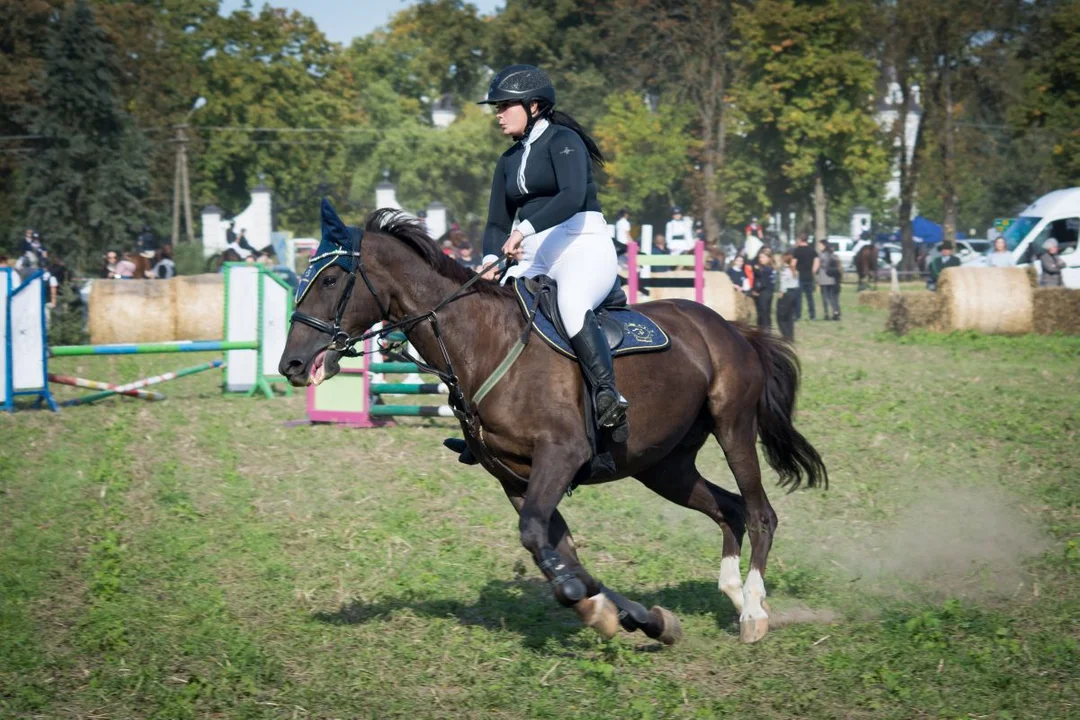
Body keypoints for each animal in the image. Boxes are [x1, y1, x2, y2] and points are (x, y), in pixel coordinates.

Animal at [280, 204, 825, 647]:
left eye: (330, 280)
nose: (291, 364)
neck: (482, 343)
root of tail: (732, 327)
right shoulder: (516, 479)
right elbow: (558, 551)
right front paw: (631, 617)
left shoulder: (560, 457)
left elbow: (541, 543)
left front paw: (594, 604)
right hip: (663, 466)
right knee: (728, 509)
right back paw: (736, 595)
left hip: (733, 429)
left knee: (760, 513)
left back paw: (753, 612)